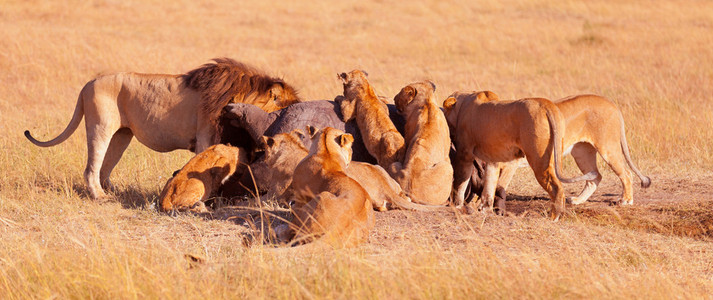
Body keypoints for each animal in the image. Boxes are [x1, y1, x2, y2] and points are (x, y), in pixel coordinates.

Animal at [23, 57, 298, 200]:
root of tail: (88, 83)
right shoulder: (205, 136)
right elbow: (207, 167)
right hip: (101, 126)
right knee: (92, 167)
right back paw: (99, 196)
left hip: (122, 135)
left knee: (105, 167)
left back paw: (114, 192)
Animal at [444, 91, 596, 220]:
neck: (462, 104)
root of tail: (547, 105)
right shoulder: (492, 159)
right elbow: (490, 185)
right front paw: (486, 210)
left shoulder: (465, 154)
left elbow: (460, 183)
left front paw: (457, 206)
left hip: (538, 159)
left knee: (556, 188)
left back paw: (554, 217)